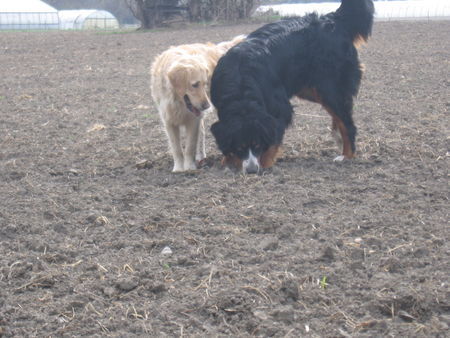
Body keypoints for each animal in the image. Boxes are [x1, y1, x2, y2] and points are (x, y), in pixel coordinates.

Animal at [149, 35, 244, 172]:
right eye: (195, 84)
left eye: (205, 84)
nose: (207, 106)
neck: (177, 102)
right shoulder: (169, 121)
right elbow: (176, 148)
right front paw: (178, 168)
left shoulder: (193, 120)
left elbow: (189, 146)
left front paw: (189, 168)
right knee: (202, 133)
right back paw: (201, 156)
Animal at [211, 0, 376, 173]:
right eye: (239, 147)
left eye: (257, 145)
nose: (251, 171)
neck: (241, 85)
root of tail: (334, 20)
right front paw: (229, 160)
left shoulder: (280, 109)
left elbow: (273, 139)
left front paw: (265, 163)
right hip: (312, 90)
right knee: (339, 115)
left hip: (329, 88)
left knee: (347, 123)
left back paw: (346, 155)